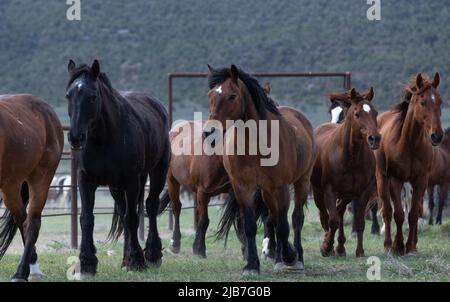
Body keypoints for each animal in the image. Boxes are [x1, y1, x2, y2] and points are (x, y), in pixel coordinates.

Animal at [0, 94, 63, 280]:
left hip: (41, 178)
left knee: (32, 222)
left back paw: (22, 272)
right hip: (10, 187)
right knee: (22, 220)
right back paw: (32, 264)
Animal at [66, 60, 171, 274]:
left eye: (92, 96)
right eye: (68, 95)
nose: (75, 137)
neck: (104, 138)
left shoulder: (131, 181)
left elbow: (132, 218)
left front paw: (137, 260)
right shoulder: (85, 181)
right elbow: (87, 218)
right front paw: (87, 263)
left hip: (158, 171)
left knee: (150, 206)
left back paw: (152, 254)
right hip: (116, 186)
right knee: (123, 213)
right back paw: (125, 259)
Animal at [208, 64, 316, 274]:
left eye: (232, 96)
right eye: (210, 95)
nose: (209, 132)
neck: (256, 145)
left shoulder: (281, 188)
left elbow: (283, 226)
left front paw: (290, 256)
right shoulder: (243, 188)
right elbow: (252, 226)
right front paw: (251, 265)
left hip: (302, 182)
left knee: (296, 219)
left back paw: (296, 256)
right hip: (267, 192)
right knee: (273, 218)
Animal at [312, 87, 380, 258]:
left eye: (375, 112)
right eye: (357, 114)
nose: (375, 139)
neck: (351, 157)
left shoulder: (363, 191)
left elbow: (359, 221)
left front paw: (360, 251)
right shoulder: (330, 191)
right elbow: (333, 220)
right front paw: (326, 247)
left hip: (347, 193)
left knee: (340, 211)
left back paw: (340, 247)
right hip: (318, 191)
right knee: (325, 216)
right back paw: (329, 244)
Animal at [374, 73, 444, 255]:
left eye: (440, 101)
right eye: (423, 102)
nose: (437, 136)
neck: (410, 143)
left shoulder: (421, 181)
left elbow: (413, 214)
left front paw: (411, 246)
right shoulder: (396, 180)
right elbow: (398, 213)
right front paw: (398, 245)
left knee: (414, 209)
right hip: (382, 179)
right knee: (387, 211)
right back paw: (388, 244)